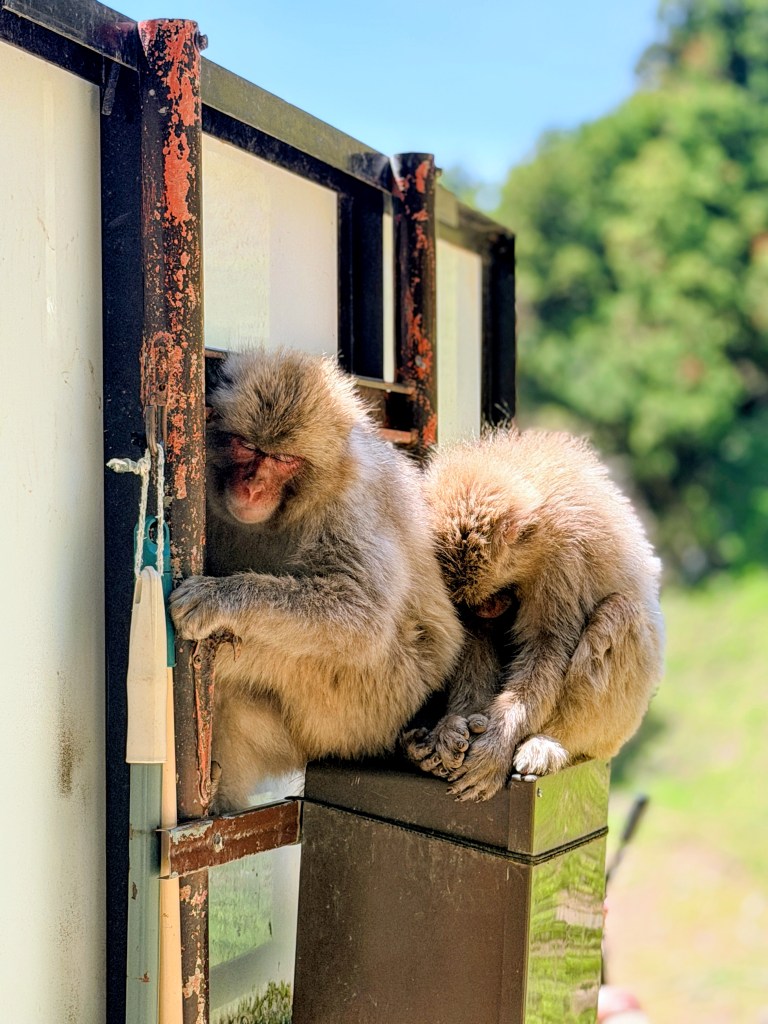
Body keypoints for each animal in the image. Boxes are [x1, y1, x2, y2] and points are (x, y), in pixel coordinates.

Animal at [168, 347, 463, 813]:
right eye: (247, 447)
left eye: (284, 461)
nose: (253, 488)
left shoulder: (350, 504)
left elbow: (360, 613)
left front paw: (220, 598)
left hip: (364, 706)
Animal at [402, 427, 664, 802]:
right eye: (475, 601)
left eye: (494, 592)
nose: (488, 608)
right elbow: (473, 636)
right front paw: (453, 727)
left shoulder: (566, 557)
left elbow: (547, 647)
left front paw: (497, 743)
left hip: (623, 720)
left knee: (618, 613)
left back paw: (552, 741)